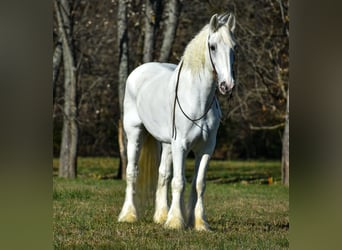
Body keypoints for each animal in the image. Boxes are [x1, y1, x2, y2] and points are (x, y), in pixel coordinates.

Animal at [117, 12, 235, 230]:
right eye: (213, 46)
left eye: (234, 47)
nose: (227, 85)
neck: (197, 99)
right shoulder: (181, 145)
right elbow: (179, 182)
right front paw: (175, 222)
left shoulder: (206, 147)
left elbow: (199, 184)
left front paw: (199, 223)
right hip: (135, 134)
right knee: (132, 172)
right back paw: (128, 215)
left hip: (167, 144)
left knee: (163, 174)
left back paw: (161, 215)